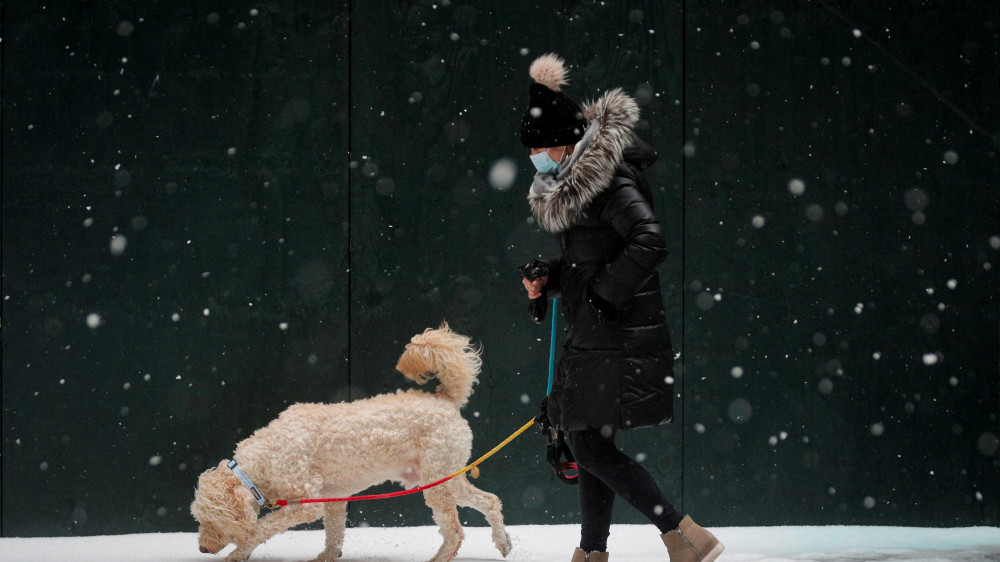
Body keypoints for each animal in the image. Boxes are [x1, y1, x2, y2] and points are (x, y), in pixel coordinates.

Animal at [191, 322, 512, 556]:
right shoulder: (332, 499)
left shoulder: (307, 503)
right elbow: (334, 535)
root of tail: (446, 399)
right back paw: (503, 542)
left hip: (438, 482)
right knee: (490, 501)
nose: (203, 548)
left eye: (209, 520)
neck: (266, 457)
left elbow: (260, 529)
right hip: (445, 476)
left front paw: (238, 553)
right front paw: (326, 558)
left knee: (455, 532)